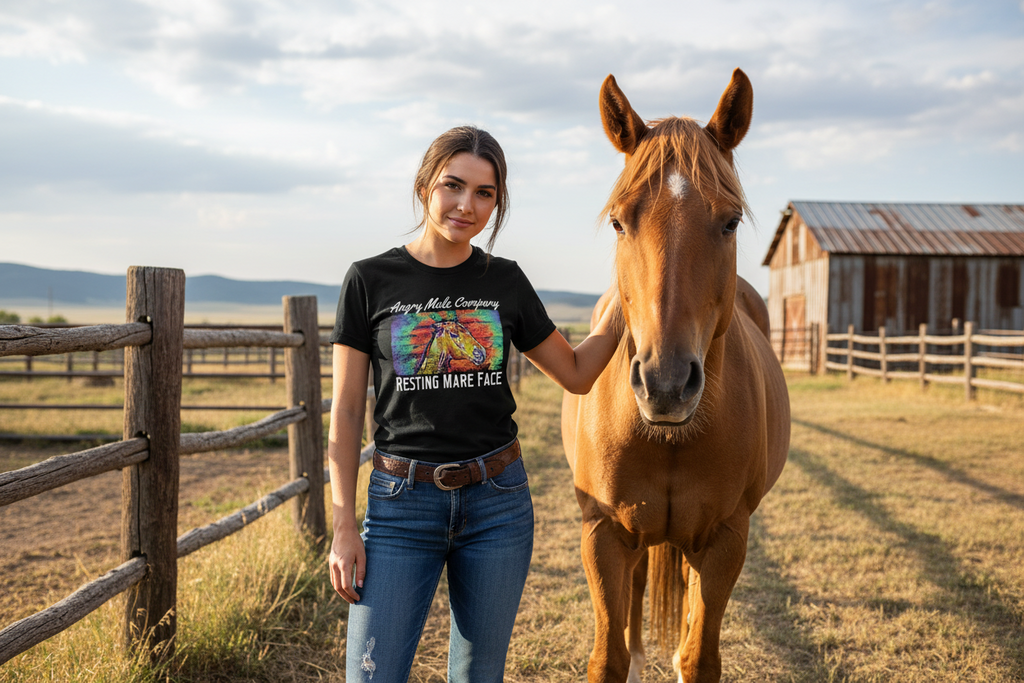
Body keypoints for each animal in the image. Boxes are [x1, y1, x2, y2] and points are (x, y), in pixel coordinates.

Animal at [561, 69, 790, 683]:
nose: (665, 384)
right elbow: (609, 656)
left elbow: (699, 654)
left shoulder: (726, 538)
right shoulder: (602, 531)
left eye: (730, 221)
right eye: (619, 221)